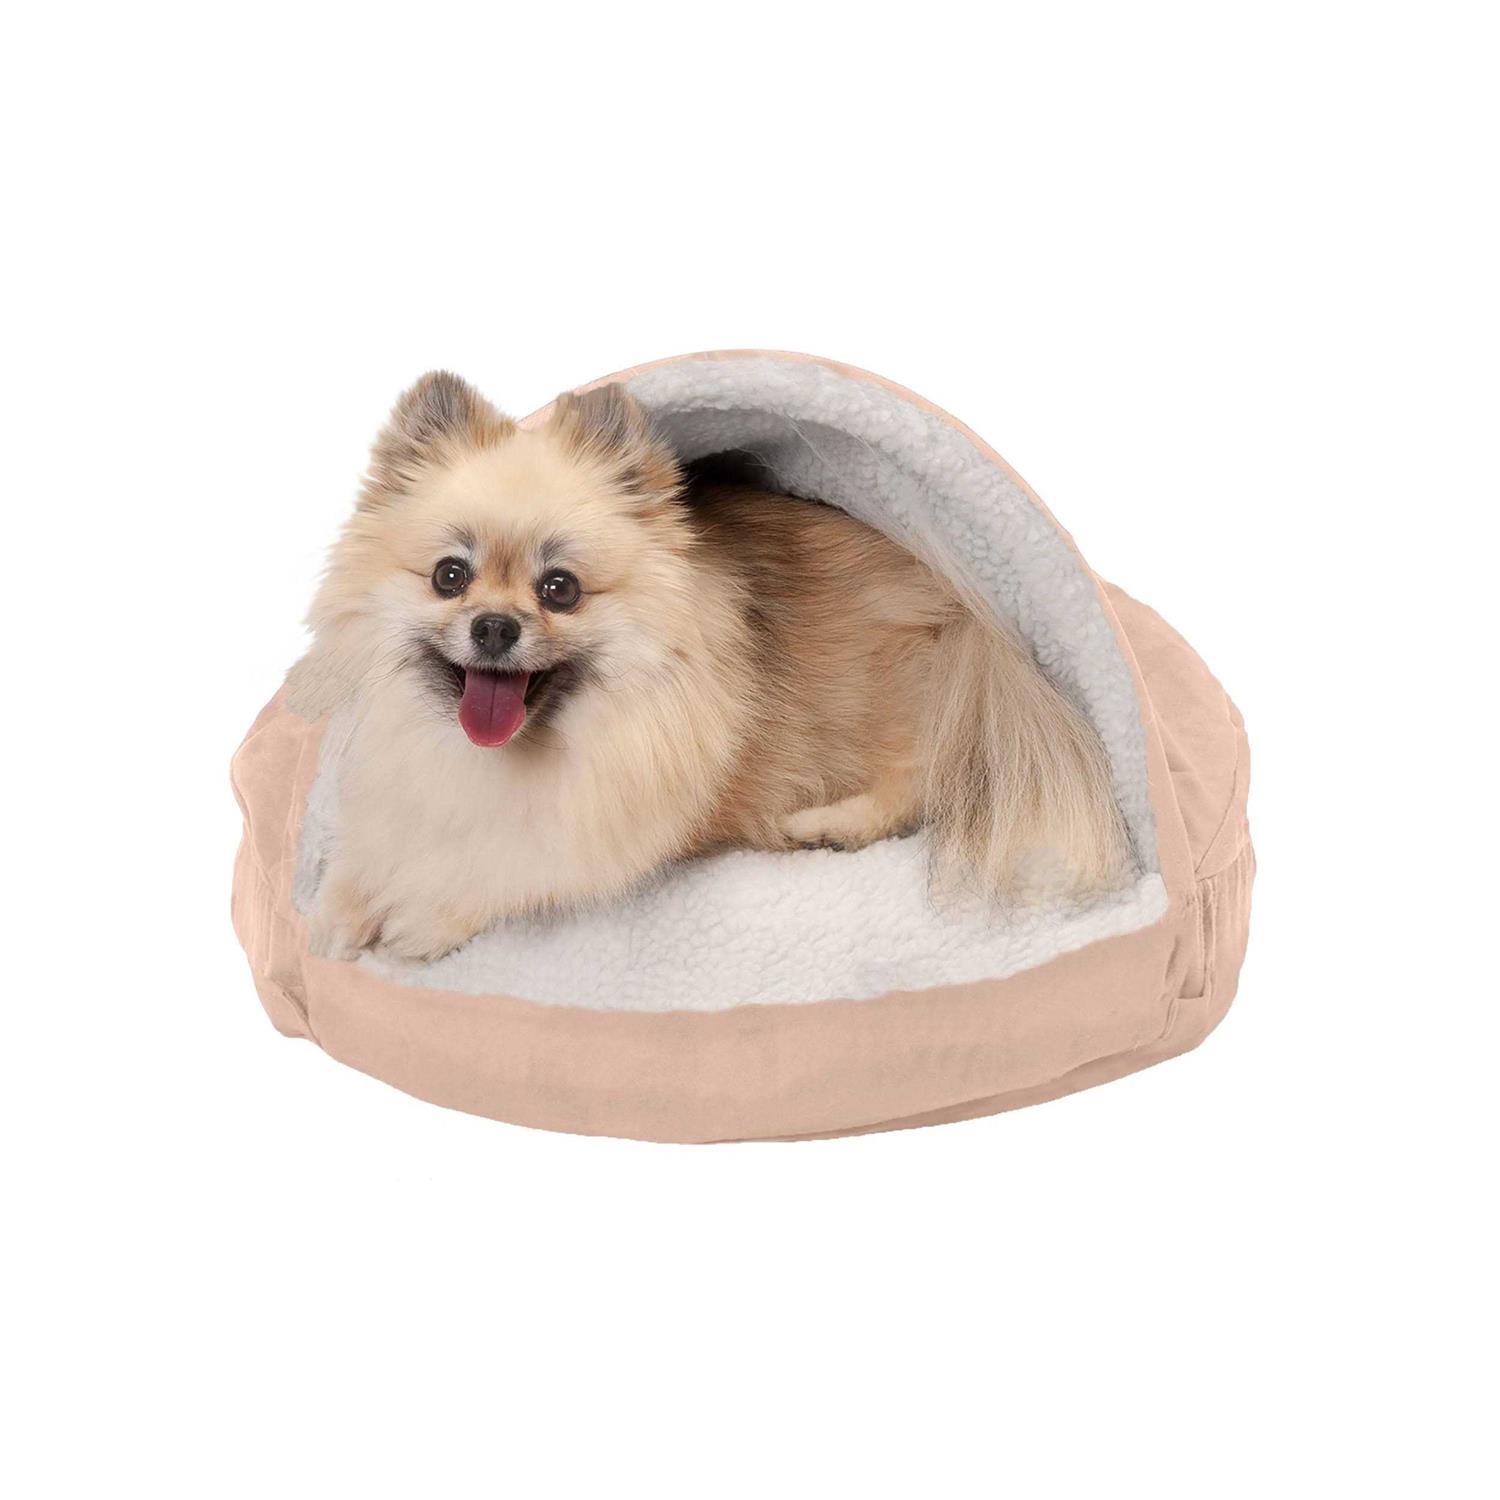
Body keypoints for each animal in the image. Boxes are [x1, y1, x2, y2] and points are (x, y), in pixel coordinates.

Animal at [289, 372, 1127, 960]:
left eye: (560, 589)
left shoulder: (596, 838)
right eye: (450, 576)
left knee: (933, 777)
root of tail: (985, 628)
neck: (506, 760)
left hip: (914, 698)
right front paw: (337, 911)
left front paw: (421, 920)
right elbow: (373, 851)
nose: (494, 625)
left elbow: (508, 874)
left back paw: (829, 826)